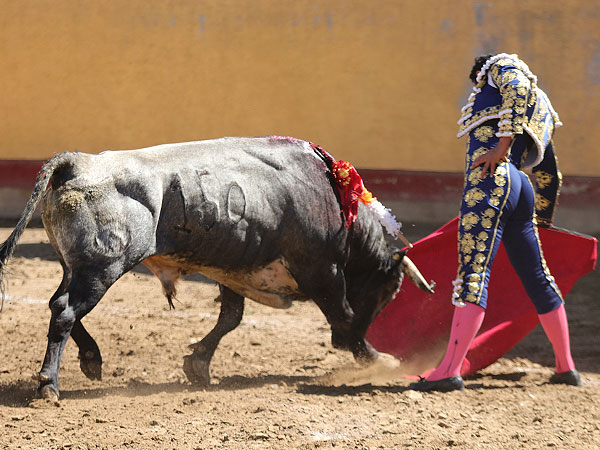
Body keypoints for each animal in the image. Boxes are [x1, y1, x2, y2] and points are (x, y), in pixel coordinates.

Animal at [0, 135, 434, 400]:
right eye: (388, 290)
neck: (333, 197)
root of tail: (76, 162)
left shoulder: (233, 268)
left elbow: (231, 317)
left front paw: (198, 365)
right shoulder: (322, 268)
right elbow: (342, 314)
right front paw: (374, 357)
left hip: (75, 267)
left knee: (59, 305)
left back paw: (91, 360)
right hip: (102, 267)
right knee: (66, 311)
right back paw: (49, 384)